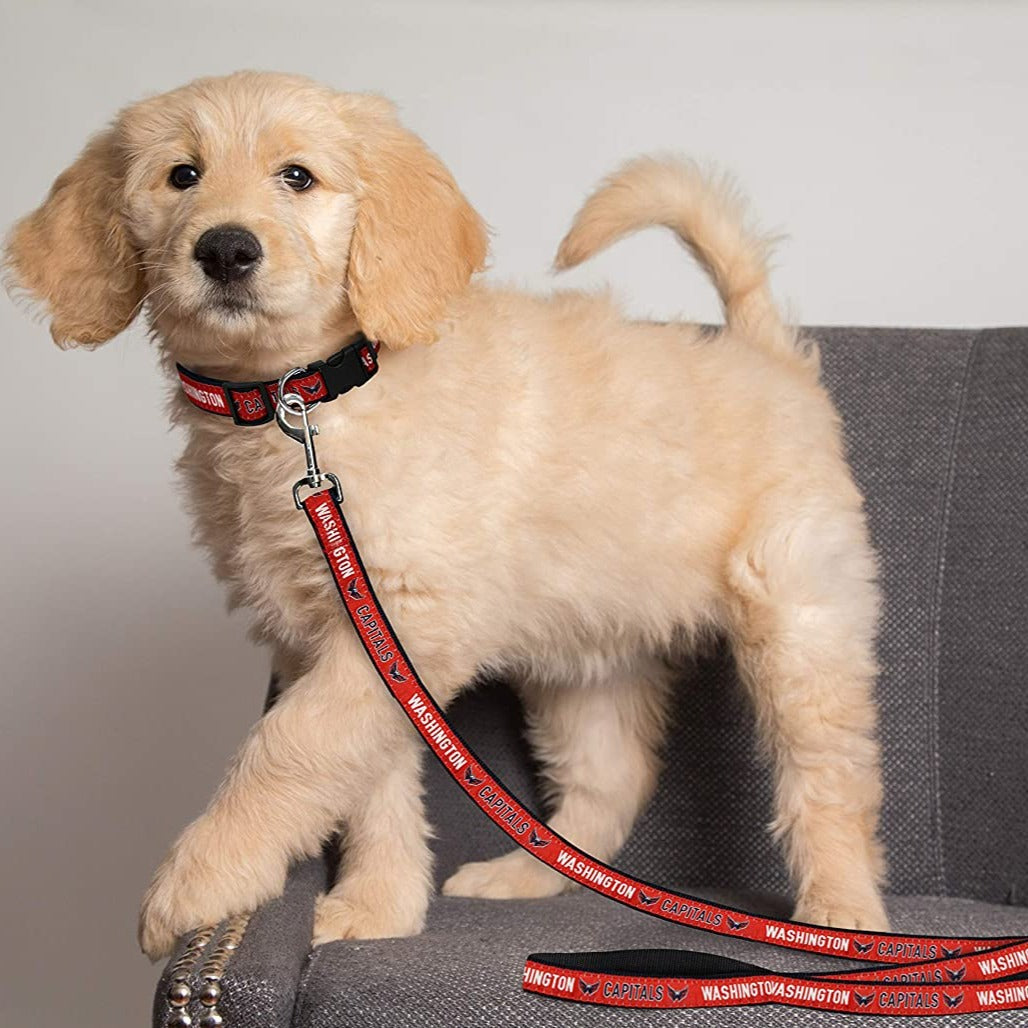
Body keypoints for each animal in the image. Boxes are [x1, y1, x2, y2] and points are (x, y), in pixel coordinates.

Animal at [4, 70, 888, 953]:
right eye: (181, 176)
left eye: (298, 177)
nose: (225, 249)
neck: (305, 400)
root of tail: (766, 350)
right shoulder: (338, 635)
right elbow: (361, 778)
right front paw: (377, 908)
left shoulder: (403, 620)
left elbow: (291, 744)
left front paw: (197, 883)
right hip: (587, 649)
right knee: (611, 780)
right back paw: (523, 877)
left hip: (799, 622)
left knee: (833, 776)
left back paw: (841, 912)